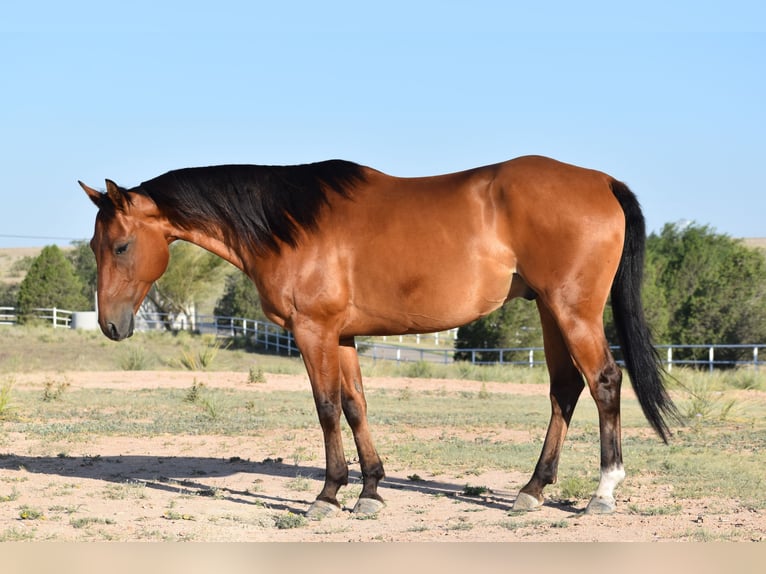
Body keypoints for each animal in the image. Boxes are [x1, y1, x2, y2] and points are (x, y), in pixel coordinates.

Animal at [79, 155, 678, 518]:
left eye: (121, 246)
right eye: (94, 245)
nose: (111, 324)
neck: (289, 224)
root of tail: (601, 181)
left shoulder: (313, 331)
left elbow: (326, 408)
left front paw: (327, 494)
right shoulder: (341, 337)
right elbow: (355, 406)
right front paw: (369, 490)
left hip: (573, 311)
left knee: (604, 382)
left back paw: (603, 491)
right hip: (552, 313)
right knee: (564, 391)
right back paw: (532, 490)